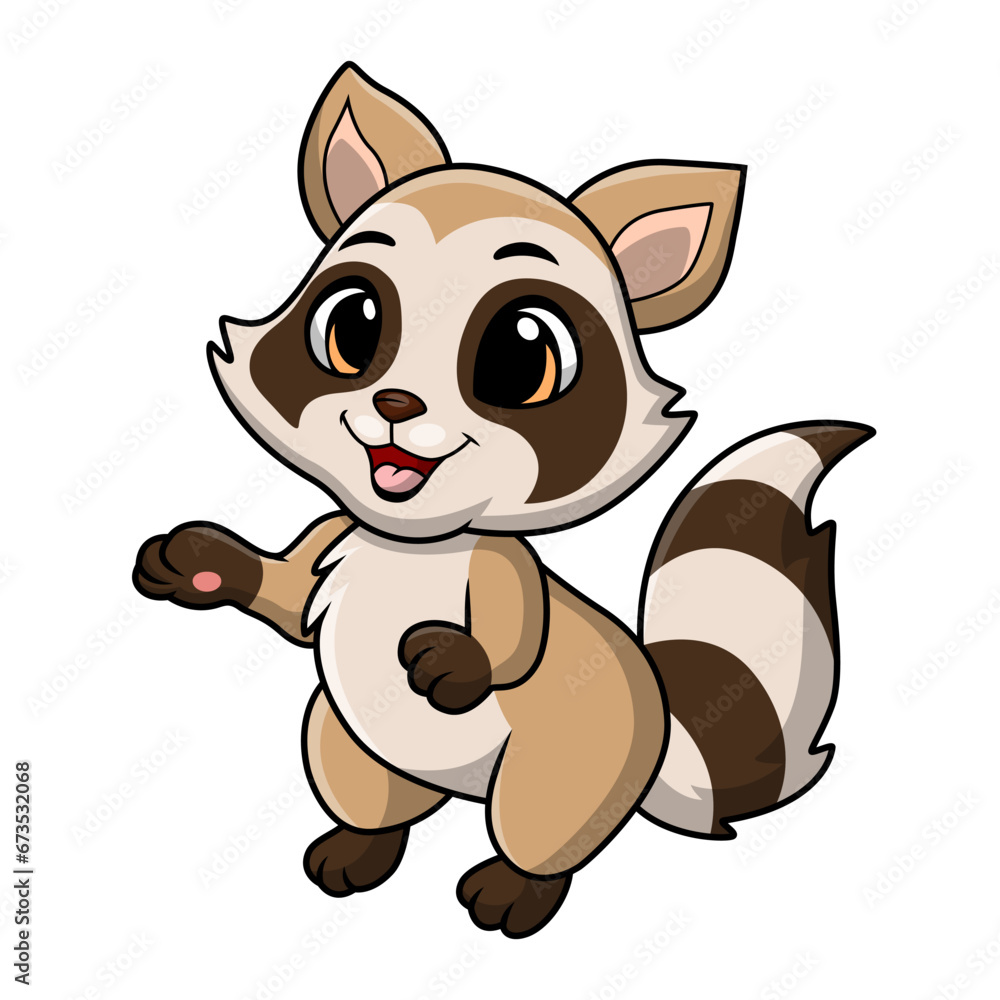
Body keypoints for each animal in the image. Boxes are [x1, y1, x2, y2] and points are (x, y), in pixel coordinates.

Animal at [133, 63, 873, 938]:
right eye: (351, 322)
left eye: (522, 357)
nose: (397, 403)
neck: (410, 545)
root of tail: (665, 735)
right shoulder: (328, 539)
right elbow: (282, 599)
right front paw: (201, 564)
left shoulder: (505, 576)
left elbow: (511, 649)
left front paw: (452, 661)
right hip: (342, 737)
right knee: (379, 803)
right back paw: (355, 853)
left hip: (557, 777)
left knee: (538, 839)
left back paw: (511, 895)